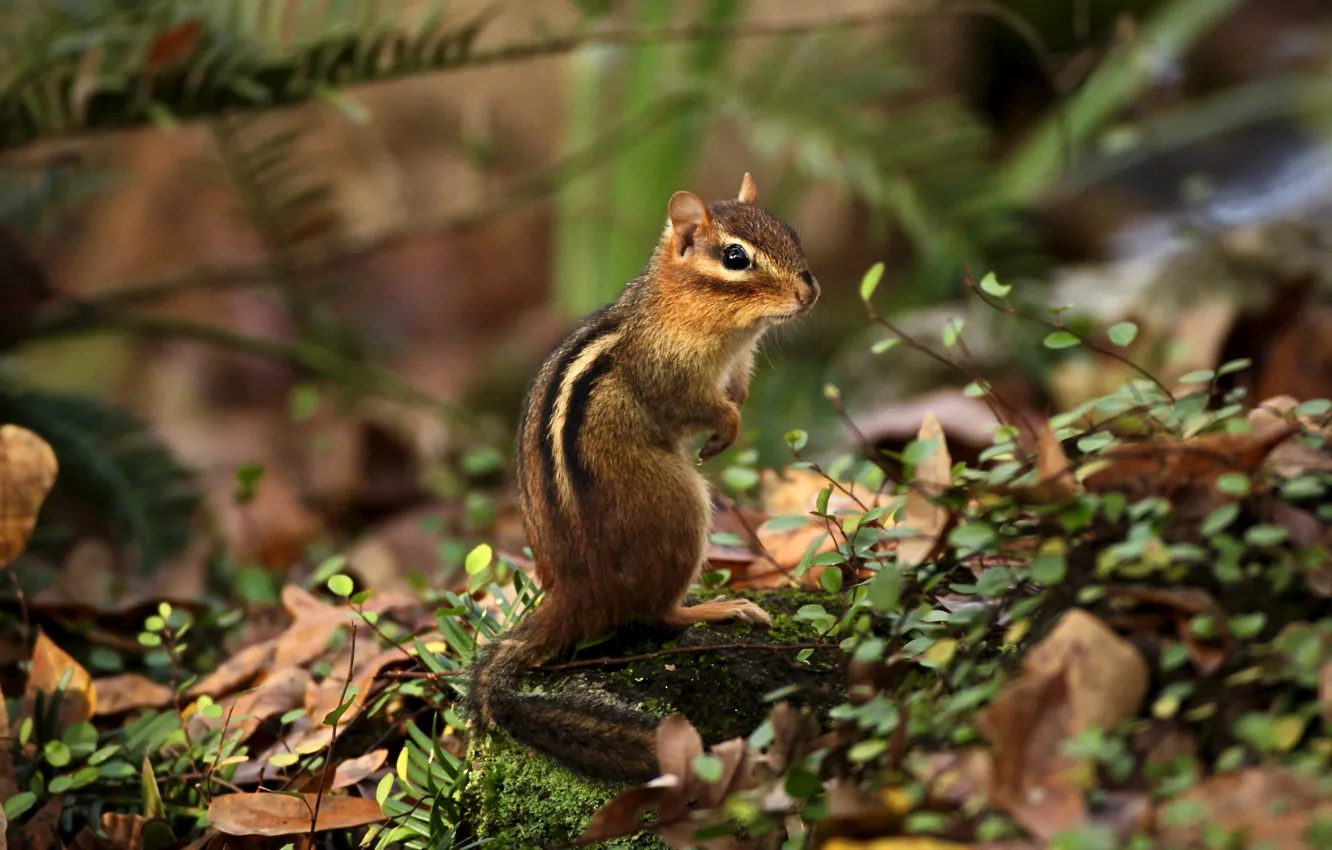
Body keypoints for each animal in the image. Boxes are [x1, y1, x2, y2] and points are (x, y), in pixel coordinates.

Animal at [466, 173, 819, 784]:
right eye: (735, 257)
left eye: (790, 232)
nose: (809, 292)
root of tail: (576, 591)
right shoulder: (671, 377)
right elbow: (699, 407)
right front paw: (724, 427)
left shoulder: (738, 362)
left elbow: (739, 390)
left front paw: (733, 418)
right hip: (681, 507)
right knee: (656, 615)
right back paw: (717, 607)